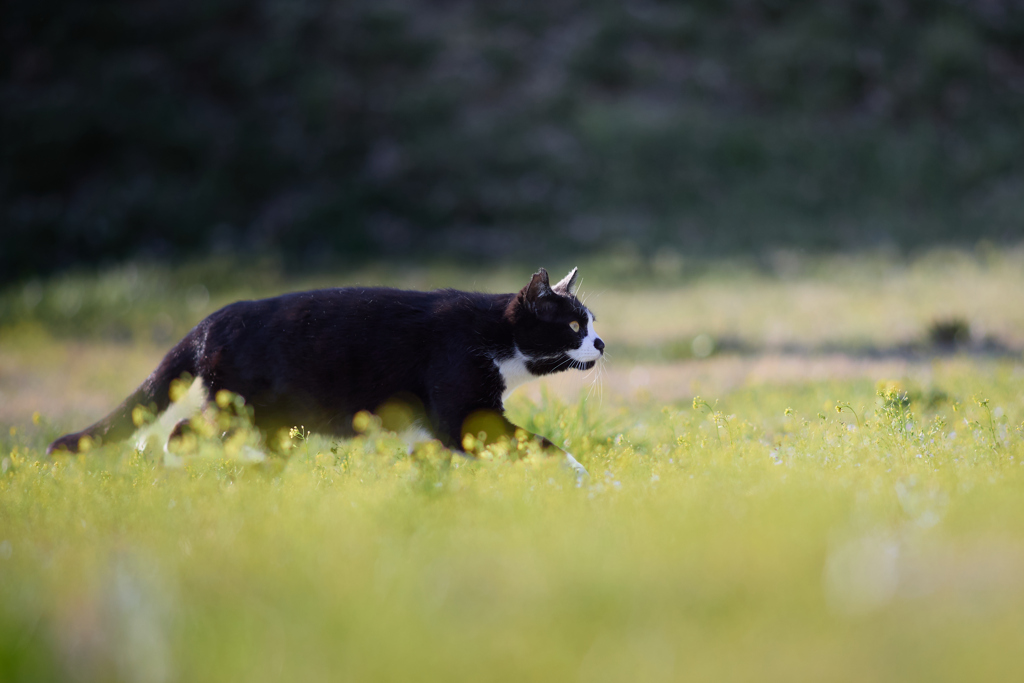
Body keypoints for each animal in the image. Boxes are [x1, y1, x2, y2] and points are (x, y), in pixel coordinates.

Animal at [48, 268, 602, 475]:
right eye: (575, 324)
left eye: (592, 322)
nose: (601, 342)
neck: (495, 337)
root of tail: (209, 321)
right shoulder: (463, 411)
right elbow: (535, 443)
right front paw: (583, 479)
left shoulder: (430, 424)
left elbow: (433, 456)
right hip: (243, 405)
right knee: (182, 430)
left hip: (274, 419)